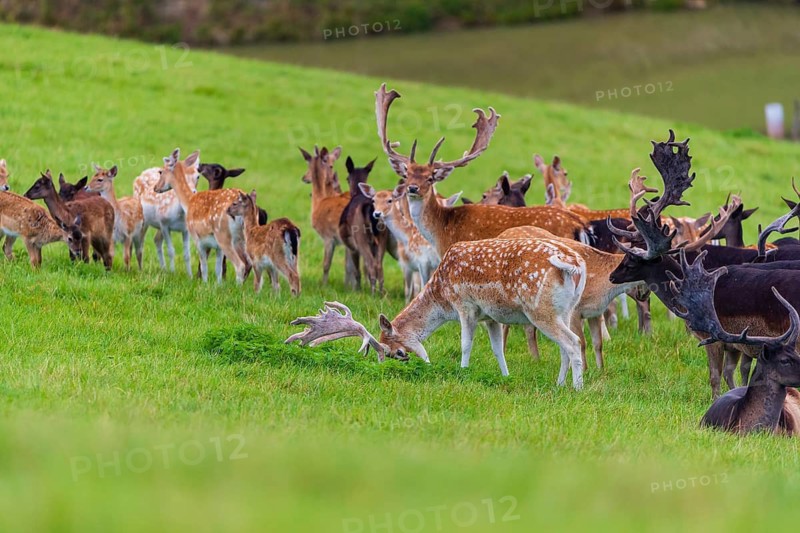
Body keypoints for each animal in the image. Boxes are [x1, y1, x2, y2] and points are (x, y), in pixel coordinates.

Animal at [154, 149, 250, 284]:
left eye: (161, 171)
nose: (155, 187)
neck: (189, 202)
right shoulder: (217, 247)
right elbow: (218, 269)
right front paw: (218, 285)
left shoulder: (196, 237)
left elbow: (204, 266)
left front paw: (204, 284)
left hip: (224, 235)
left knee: (240, 265)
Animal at [287, 236, 588, 388]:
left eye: (393, 351)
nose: (405, 360)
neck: (441, 295)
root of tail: (575, 265)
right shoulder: (490, 316)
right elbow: (497, 349)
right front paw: (505, 377)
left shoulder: (465, 304)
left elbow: (466, 344)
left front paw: (463, 372)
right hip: (565, 309)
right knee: (565, 346)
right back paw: (560, 384)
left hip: (540, 309)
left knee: (573, 342)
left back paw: (576, 388)